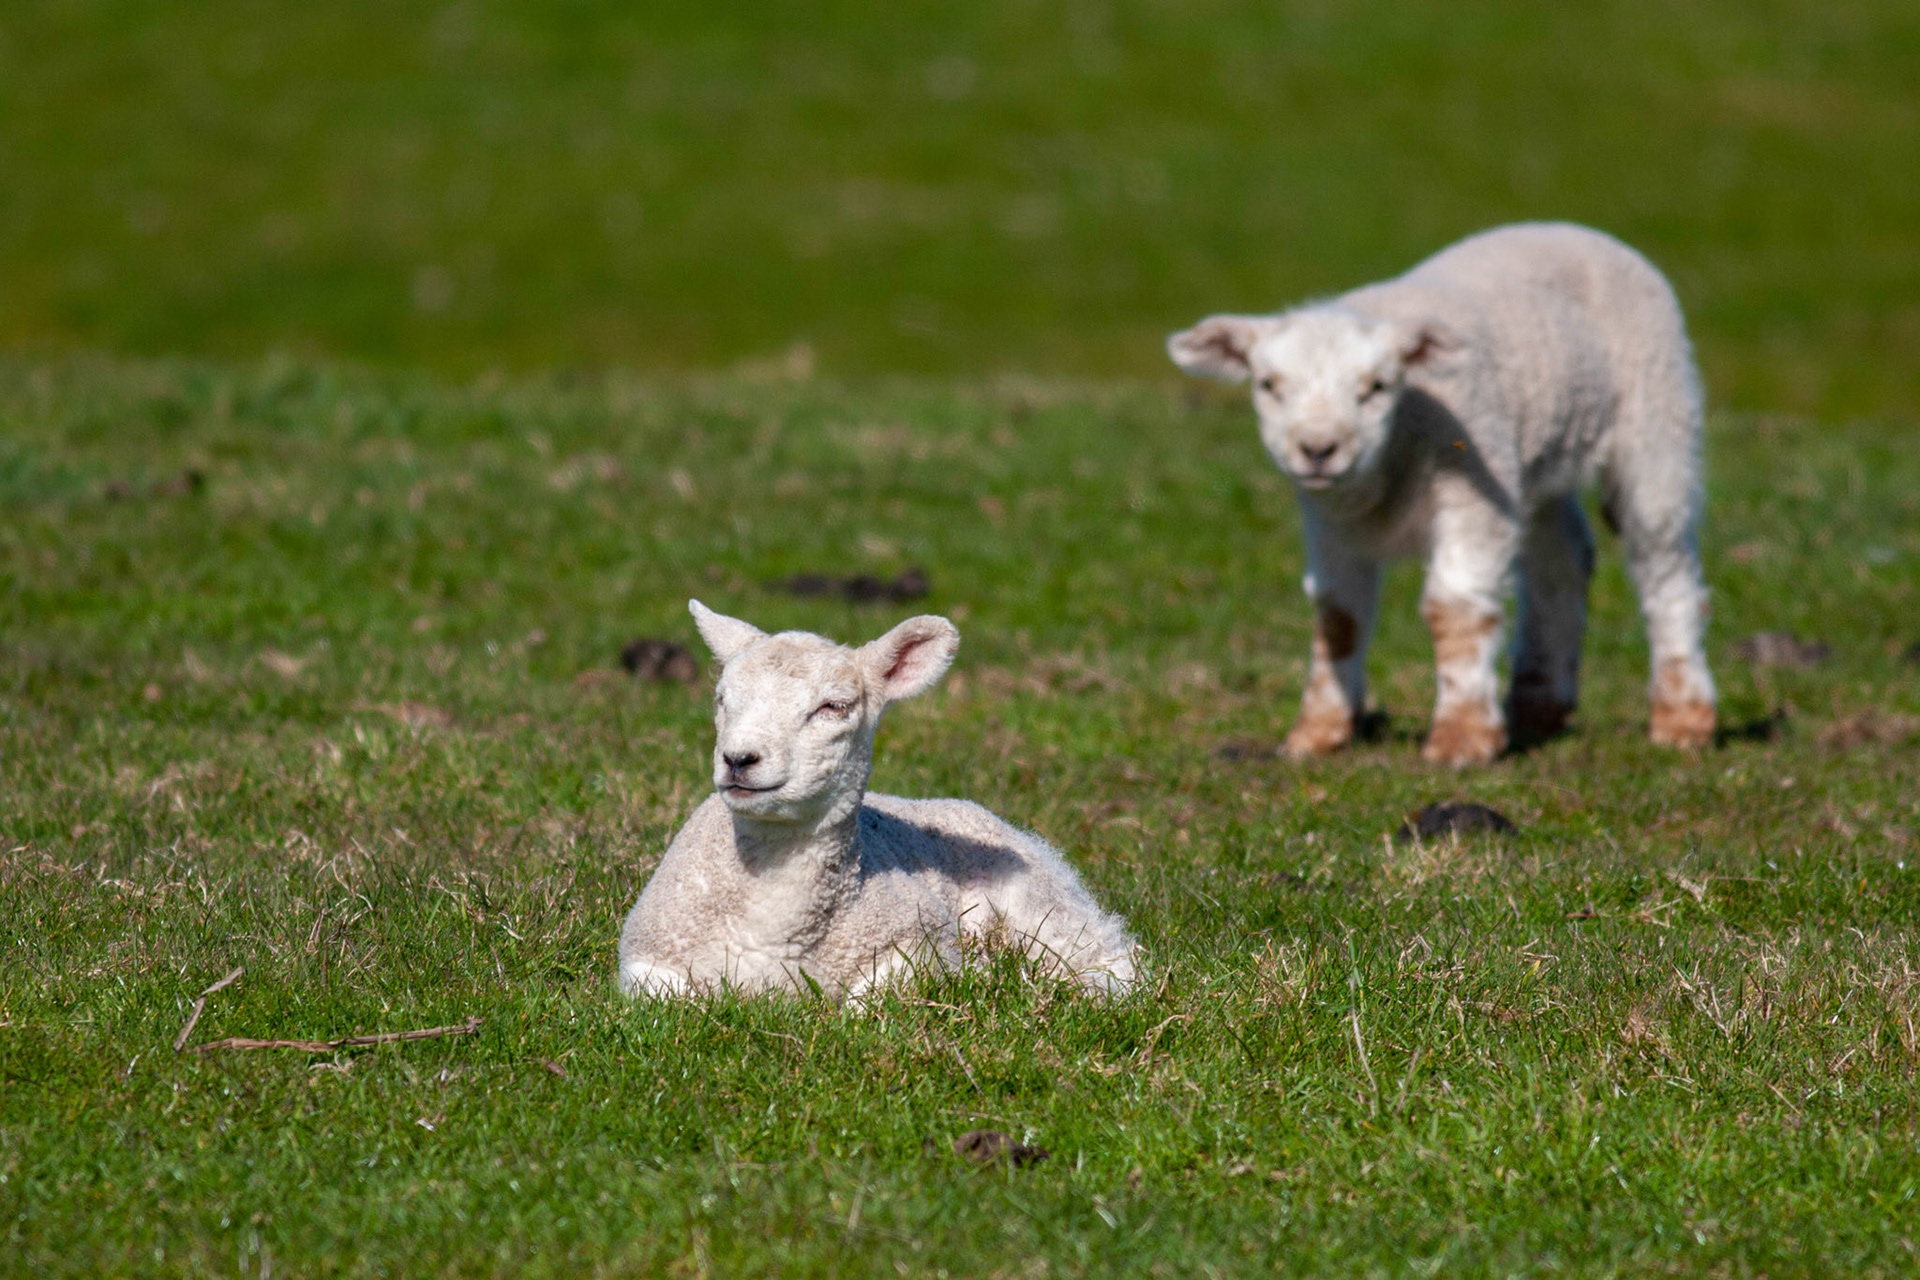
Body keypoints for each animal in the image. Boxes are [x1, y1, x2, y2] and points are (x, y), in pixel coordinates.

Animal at [617, 601, 1139, 1000]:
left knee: (1112, 962)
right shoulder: (648, 956)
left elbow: (869, 1004)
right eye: (723, 698)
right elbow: (668, 998)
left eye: (833, 707)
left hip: (1045, 907)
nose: (739, 759)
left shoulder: (915, 943)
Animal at [1168, 222, 1717, 766]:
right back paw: (1539, 707)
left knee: (1663, 565)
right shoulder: (1329, 521)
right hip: (1532, 459)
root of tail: (1570, 228)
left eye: (1377, 387)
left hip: (1656, 415)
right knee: (1560, 560)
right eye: (1267, 384)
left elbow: (1455, 608)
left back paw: (1683, 716)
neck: (1383, 474)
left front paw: (1462, 737)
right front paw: (1318, 733)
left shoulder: (1471, 495)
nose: (1318, 449)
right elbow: (1338, 617)